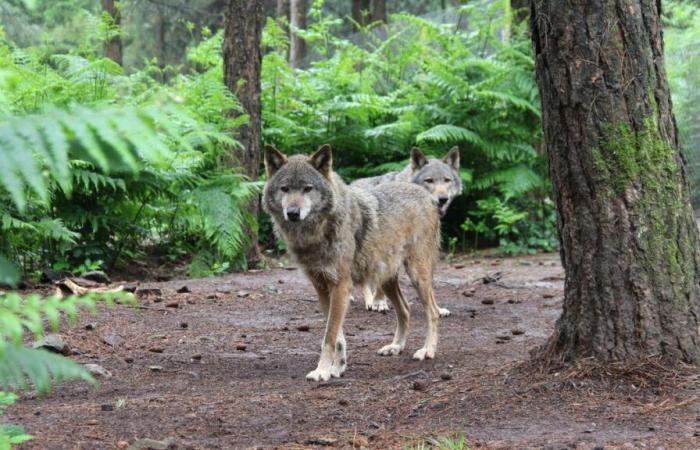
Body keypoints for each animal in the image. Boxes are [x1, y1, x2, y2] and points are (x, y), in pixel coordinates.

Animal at [264, 146, 442, 382]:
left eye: (307, 189)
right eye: (284, 189)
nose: (292, 213)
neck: (317, 233)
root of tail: (423, 192)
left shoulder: (340, 286)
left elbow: (329, 337)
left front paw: (322, 371)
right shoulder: (322, 288)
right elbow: (337, 336)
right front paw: (337, 368)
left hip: (417, 275)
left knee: (432, 311)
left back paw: (428, 350)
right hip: (386, 279)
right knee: (405, 309)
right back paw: (396, 346)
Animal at [348, 147, 460, 312]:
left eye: (447, 180)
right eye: (429, 180)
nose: (443, 199)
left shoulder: (428, 251)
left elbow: (429, 286)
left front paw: (438, 309)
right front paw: (379, 302)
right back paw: (368, 301)